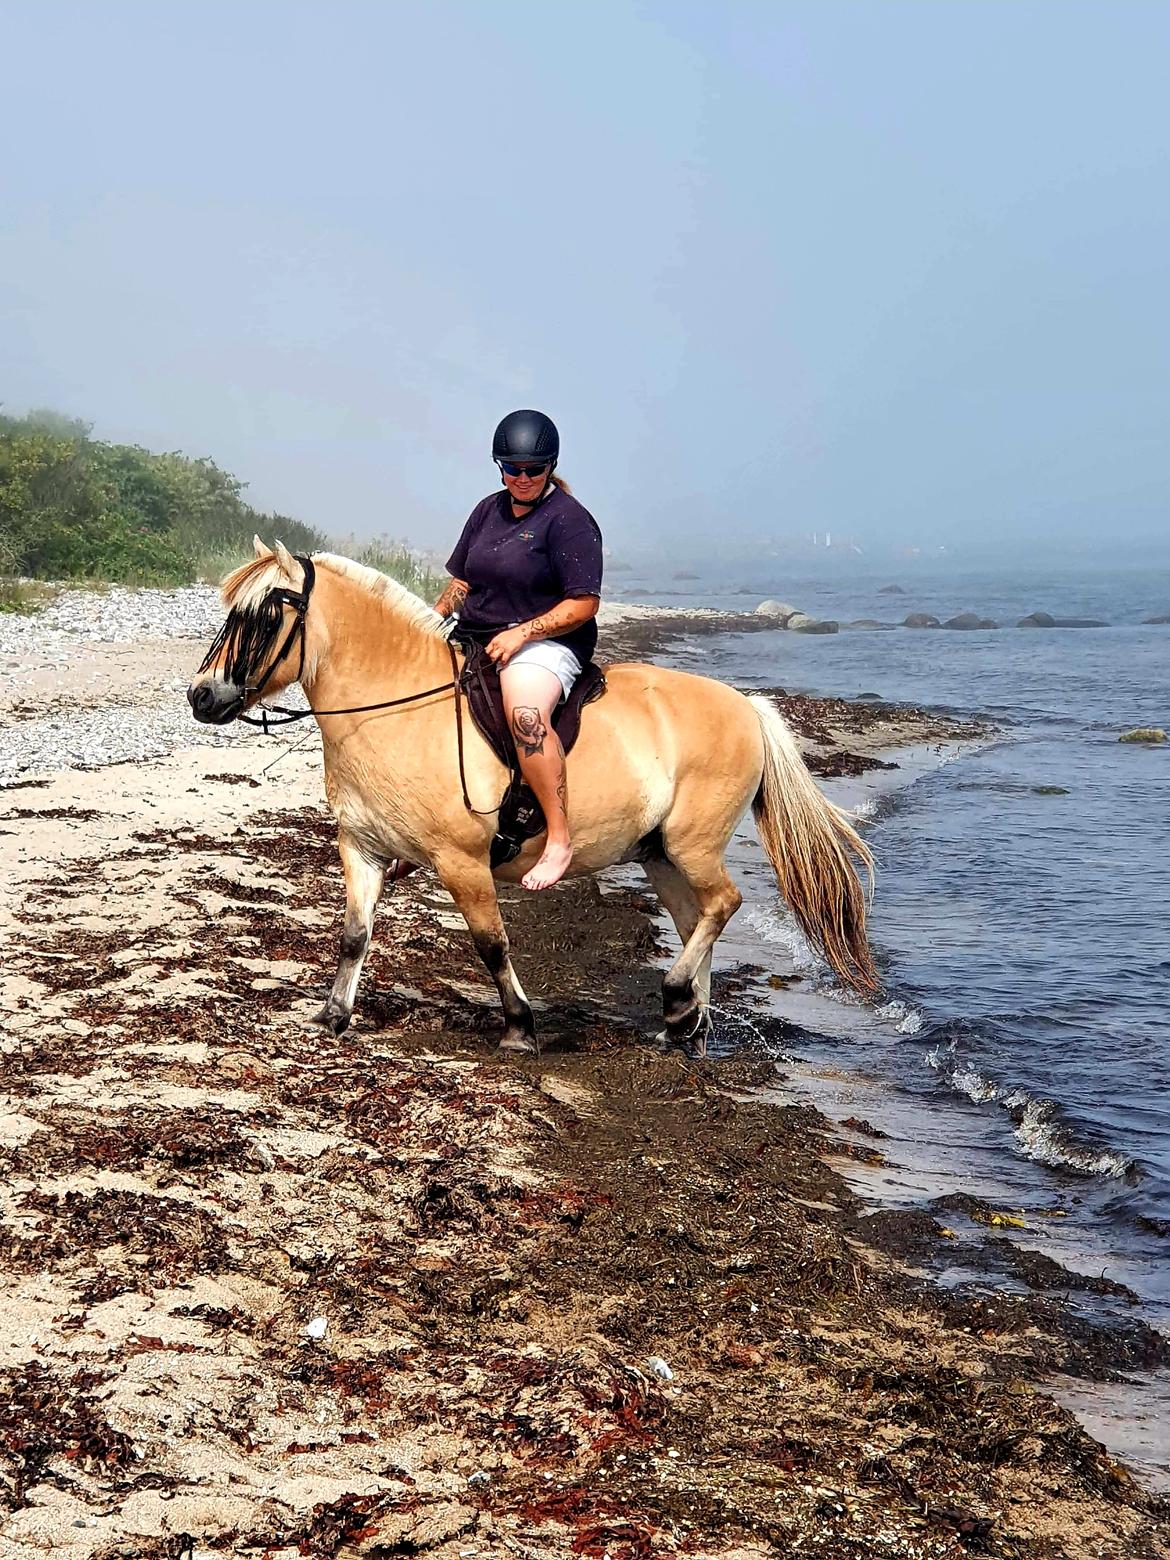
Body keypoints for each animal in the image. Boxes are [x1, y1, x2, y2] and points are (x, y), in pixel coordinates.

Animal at [187, 542, 873, 1054]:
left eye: (265, 616)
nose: (201, 696)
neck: (398, 709)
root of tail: (747, 707)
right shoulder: (362, 849)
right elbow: (355, 933)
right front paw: (333, 1016)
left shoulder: (462, 862)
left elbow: (492, 943)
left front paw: (519, 1027)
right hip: (659, 854)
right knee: (694, 918)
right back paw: (687, 1025)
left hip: (692, 843)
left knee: (723, 903)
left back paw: (680, 1003)